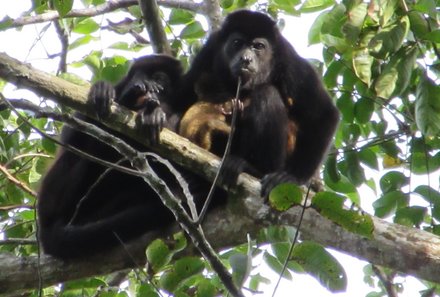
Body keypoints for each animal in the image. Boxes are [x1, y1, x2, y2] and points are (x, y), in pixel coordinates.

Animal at [37, 54, 189, 258]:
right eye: (148, 76)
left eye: (161, 80)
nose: (151, 87)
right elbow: (74, 136)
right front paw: (106, 90)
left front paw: (155, 114)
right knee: (77, 155)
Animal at [180, 10, 340, 195]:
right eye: (237, 43)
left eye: (258, 46)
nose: (246, 59)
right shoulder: (209, 49)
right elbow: (183, 94)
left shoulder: (288, 58)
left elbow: (323, 113)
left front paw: (293, 177)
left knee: (267, 93)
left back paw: (254, 168)